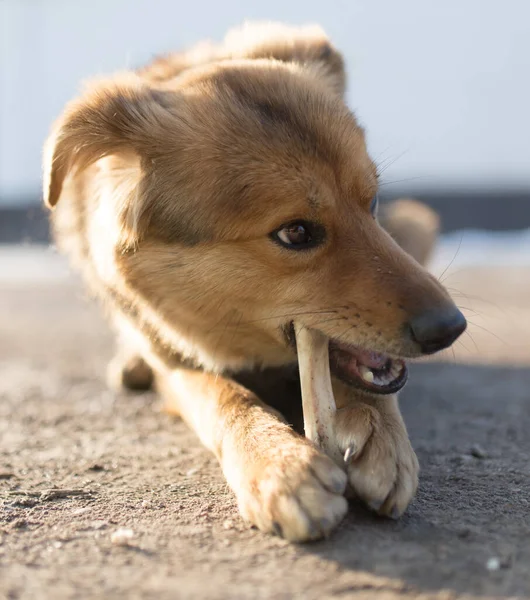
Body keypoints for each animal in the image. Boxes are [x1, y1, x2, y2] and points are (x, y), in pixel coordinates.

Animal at [43, 23, 464, 540]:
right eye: (295, 233)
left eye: (372, 202)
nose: (450, 328)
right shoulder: (172, 358)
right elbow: (225, 397)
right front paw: (280, 467)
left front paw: (378, 434)